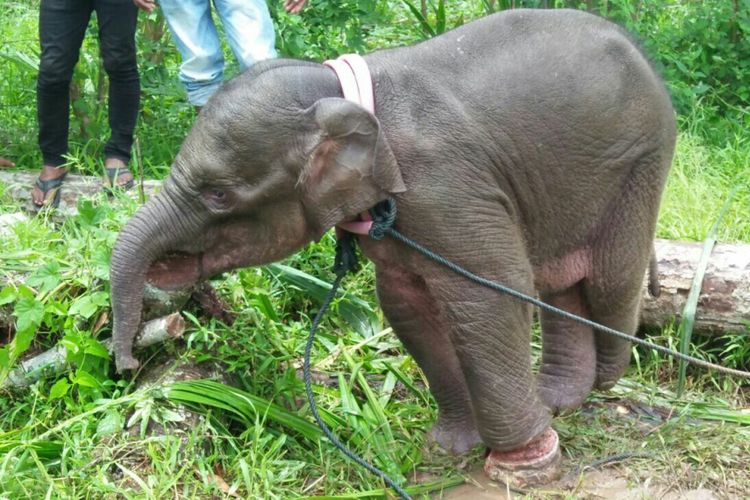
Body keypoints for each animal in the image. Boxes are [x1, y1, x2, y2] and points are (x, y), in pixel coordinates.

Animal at [110, 7, 676, 488]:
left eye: (218, 195)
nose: (128, 365)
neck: (344, 93)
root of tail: (634, 42)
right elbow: (406, 305)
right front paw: (446, 451)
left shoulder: (446, 187)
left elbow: (493, 291)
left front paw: (523, 466)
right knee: (562, 281)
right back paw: (560, 401)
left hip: (642, 159)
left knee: (609, 277)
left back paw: (597, 384)